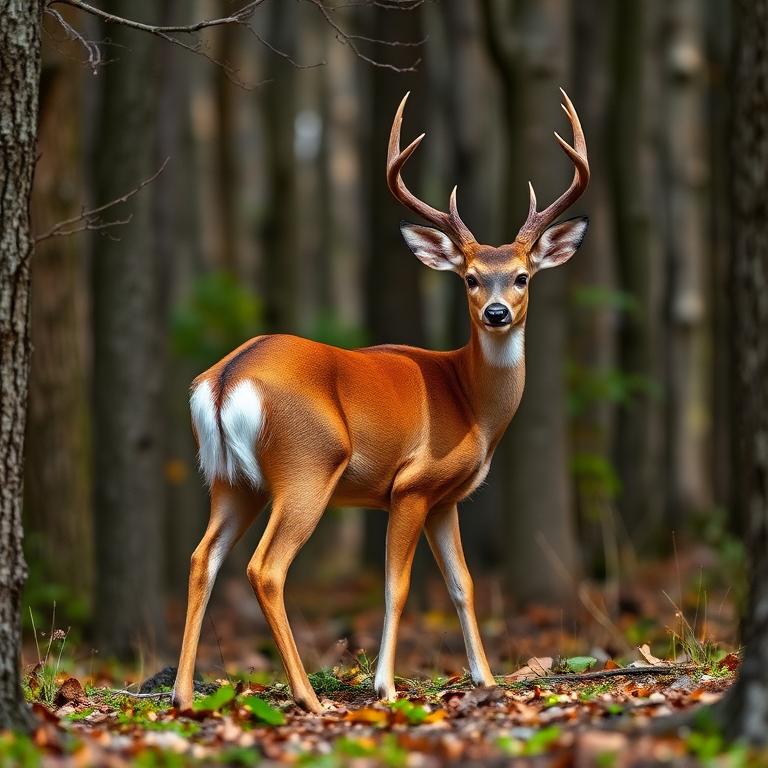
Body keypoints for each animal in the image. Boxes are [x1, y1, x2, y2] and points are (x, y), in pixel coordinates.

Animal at [171, 89, 589, 714]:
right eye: (470, 278)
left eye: (520, 277)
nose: (496, 313)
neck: (471, 403)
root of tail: (225, 378)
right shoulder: (412, 484)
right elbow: (398, 586)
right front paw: (386, 685)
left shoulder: (447, 498)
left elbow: (463, 585)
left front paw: (486, 678)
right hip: (307, 466)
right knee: (265, 568)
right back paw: (309, 698)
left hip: (230, 480)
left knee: (203, 559)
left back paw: (182, 694)